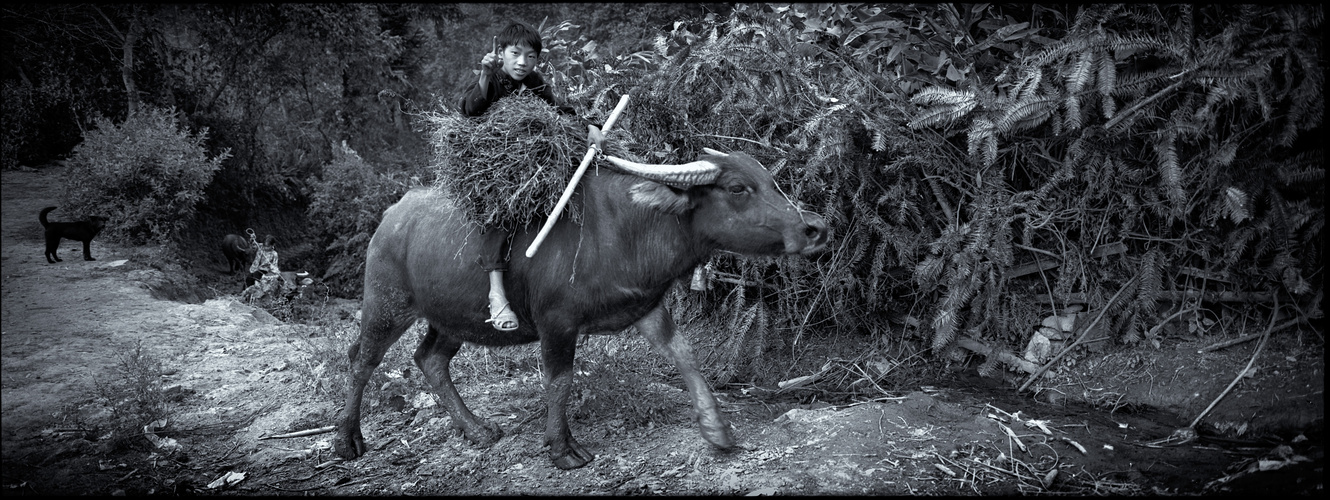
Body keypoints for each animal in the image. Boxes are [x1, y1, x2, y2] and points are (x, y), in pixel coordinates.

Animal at [335, 147, 829, 468]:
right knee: (362, 359)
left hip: (451, 316)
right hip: (386, 303)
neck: (627, 230)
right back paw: (348, 440)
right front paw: (563, 449)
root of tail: (392, 216)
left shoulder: (647, 307)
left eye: (770, 182)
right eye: (738, 187)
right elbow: (560, 381)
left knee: (430, 359)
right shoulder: (557, 323)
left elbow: (685, 357)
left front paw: (717, 430)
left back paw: (477, 430)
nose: (815, 228)